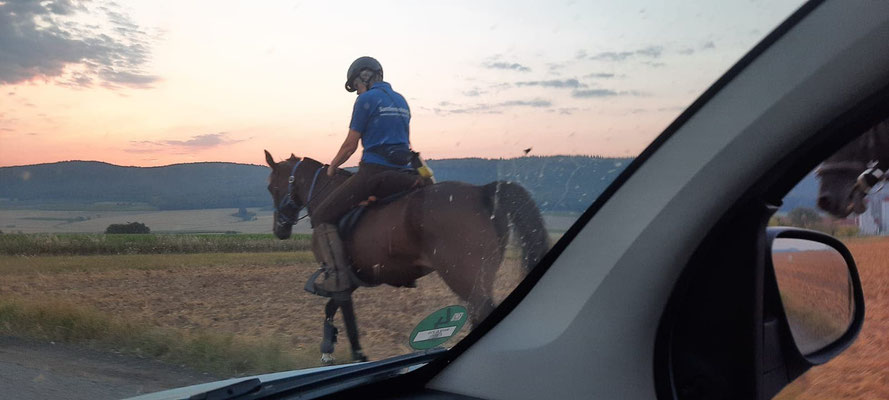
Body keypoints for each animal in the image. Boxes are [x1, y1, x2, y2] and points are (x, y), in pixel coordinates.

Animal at [262, 151, 548, 362]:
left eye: (271, 187)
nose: (280, 229)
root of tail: (483, 192)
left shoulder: (339, 279)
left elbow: (347, 318)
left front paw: (353, 354)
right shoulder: (350, 281)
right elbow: (332, 309)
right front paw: (329, 346)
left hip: (465, 279)